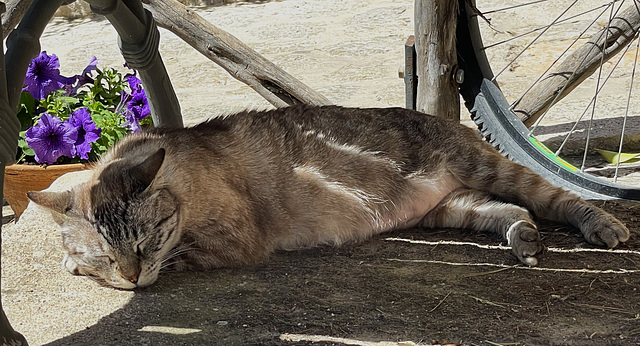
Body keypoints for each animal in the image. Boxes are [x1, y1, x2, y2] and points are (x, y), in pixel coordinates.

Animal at [27, 104, 628, 290]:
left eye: (145, 243)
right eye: (108, 253)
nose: (131, 279)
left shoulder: (229, 243)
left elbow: (179, 256)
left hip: (486, 169)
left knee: (551, 198)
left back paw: (602, 226)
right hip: (451, 210)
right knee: (515, 213)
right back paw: (525, 244)